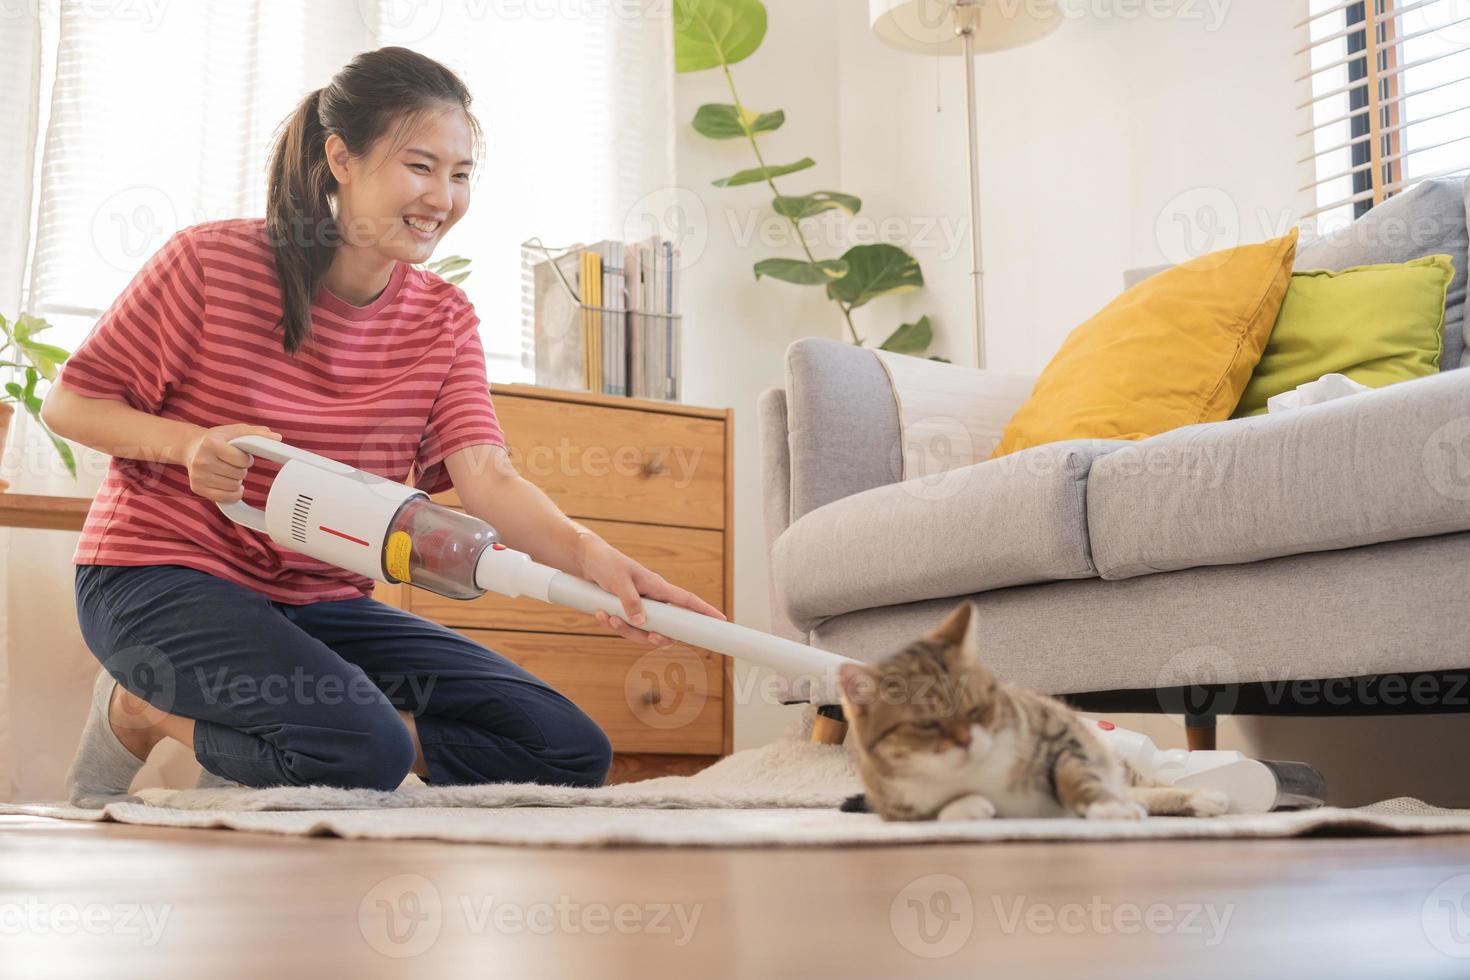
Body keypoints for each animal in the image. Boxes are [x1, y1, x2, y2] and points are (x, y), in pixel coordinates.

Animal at [840, 602, 1228, 822]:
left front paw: (1103, 805)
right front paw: (965, 806)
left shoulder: (1057, 730)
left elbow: (1076, 770)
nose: (966, 741)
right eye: (926, 724)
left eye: (978, 708)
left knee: (1142, 785)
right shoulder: (893, 803)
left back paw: (1200, 796)